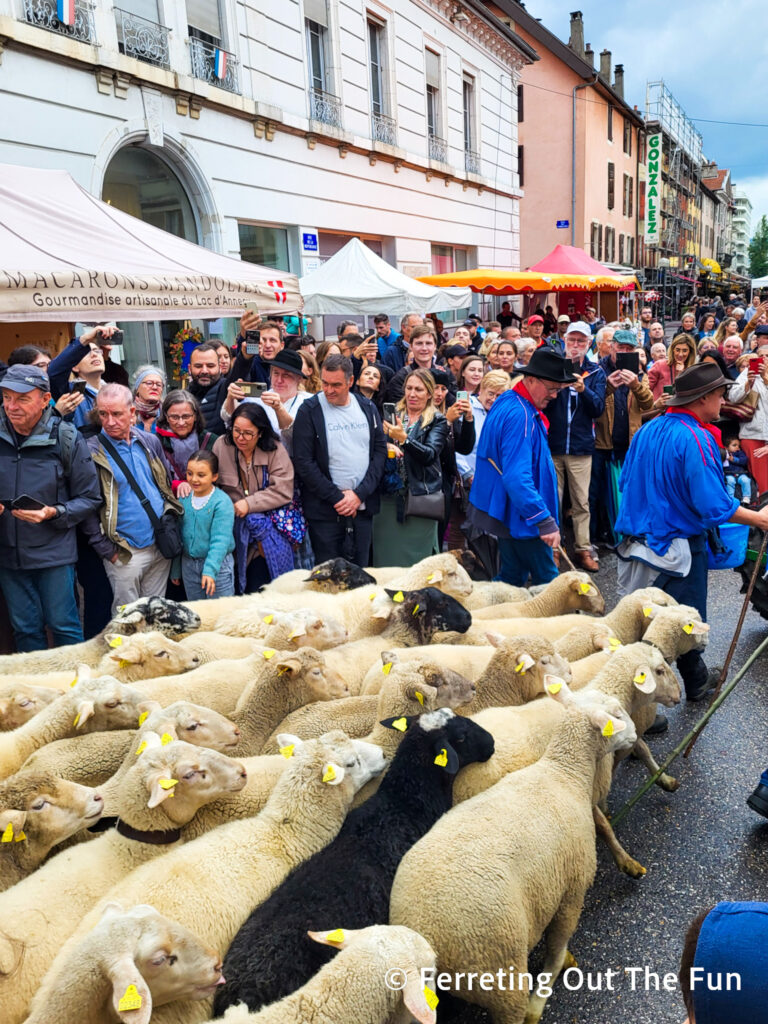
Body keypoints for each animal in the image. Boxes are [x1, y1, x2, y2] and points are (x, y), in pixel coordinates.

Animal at [391, 700, 638, 1019]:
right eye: (617, 716)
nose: (635, 735)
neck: (563, 773)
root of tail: (429, 937)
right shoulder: (572, 889)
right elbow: (557, 947)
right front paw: (545, 989)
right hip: (499, 973)